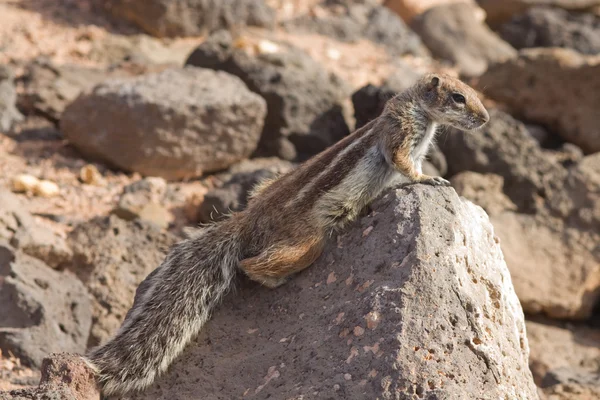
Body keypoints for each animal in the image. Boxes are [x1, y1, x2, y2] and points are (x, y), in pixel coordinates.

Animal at [84, 73, 490, 396]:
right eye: (458, 97)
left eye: (474, 91)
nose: (485, 118)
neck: (419, 111)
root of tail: (248, 219)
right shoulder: (401, 134)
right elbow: (405, 165)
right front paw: (431, 180)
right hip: (307, 243)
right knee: (252, 264)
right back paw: (277, 279)